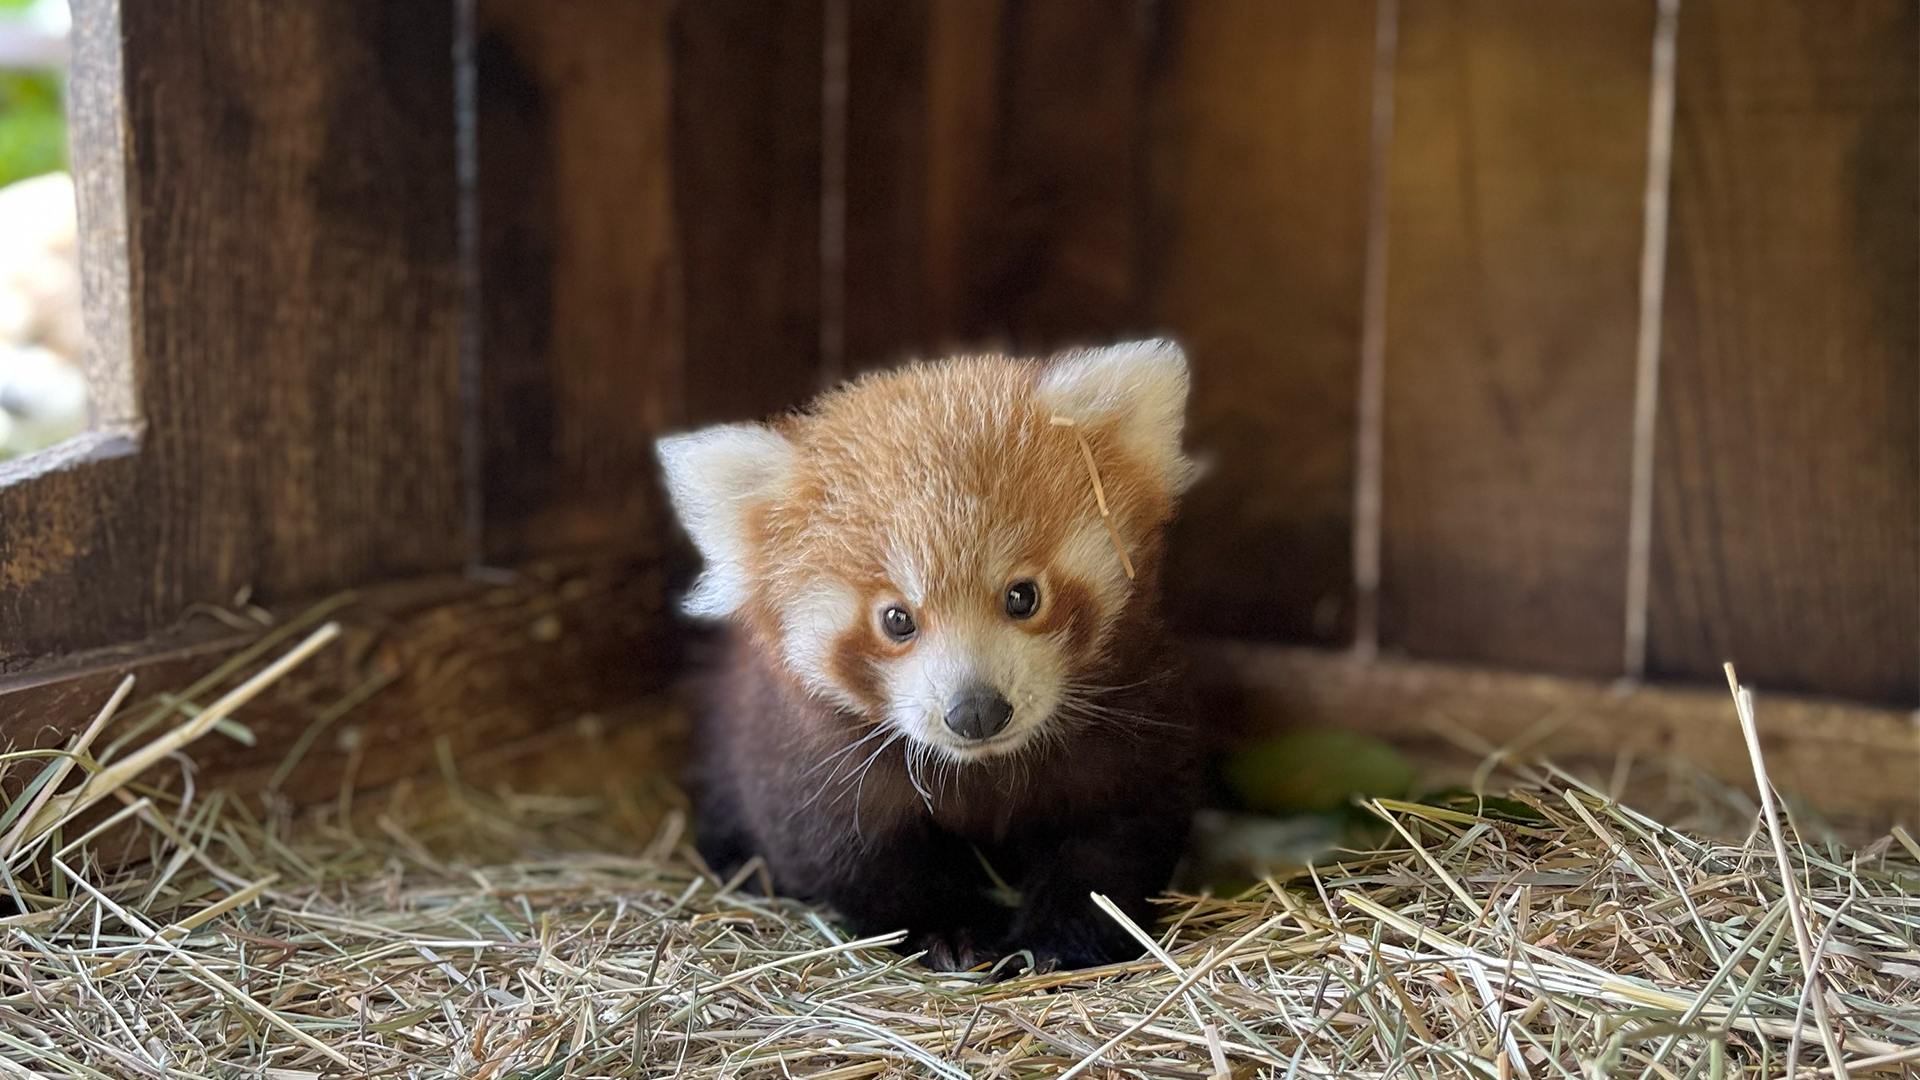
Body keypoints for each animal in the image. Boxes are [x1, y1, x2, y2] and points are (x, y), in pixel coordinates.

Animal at [660, 336, 1198, 968]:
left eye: (1023, 596)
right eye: (897, 619)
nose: (977, 711)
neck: (984, 771)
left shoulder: (1135, 717)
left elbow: (1116, 841)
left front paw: (1063, 943)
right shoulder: (801, 756)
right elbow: (858, 860)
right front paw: (949, 933)